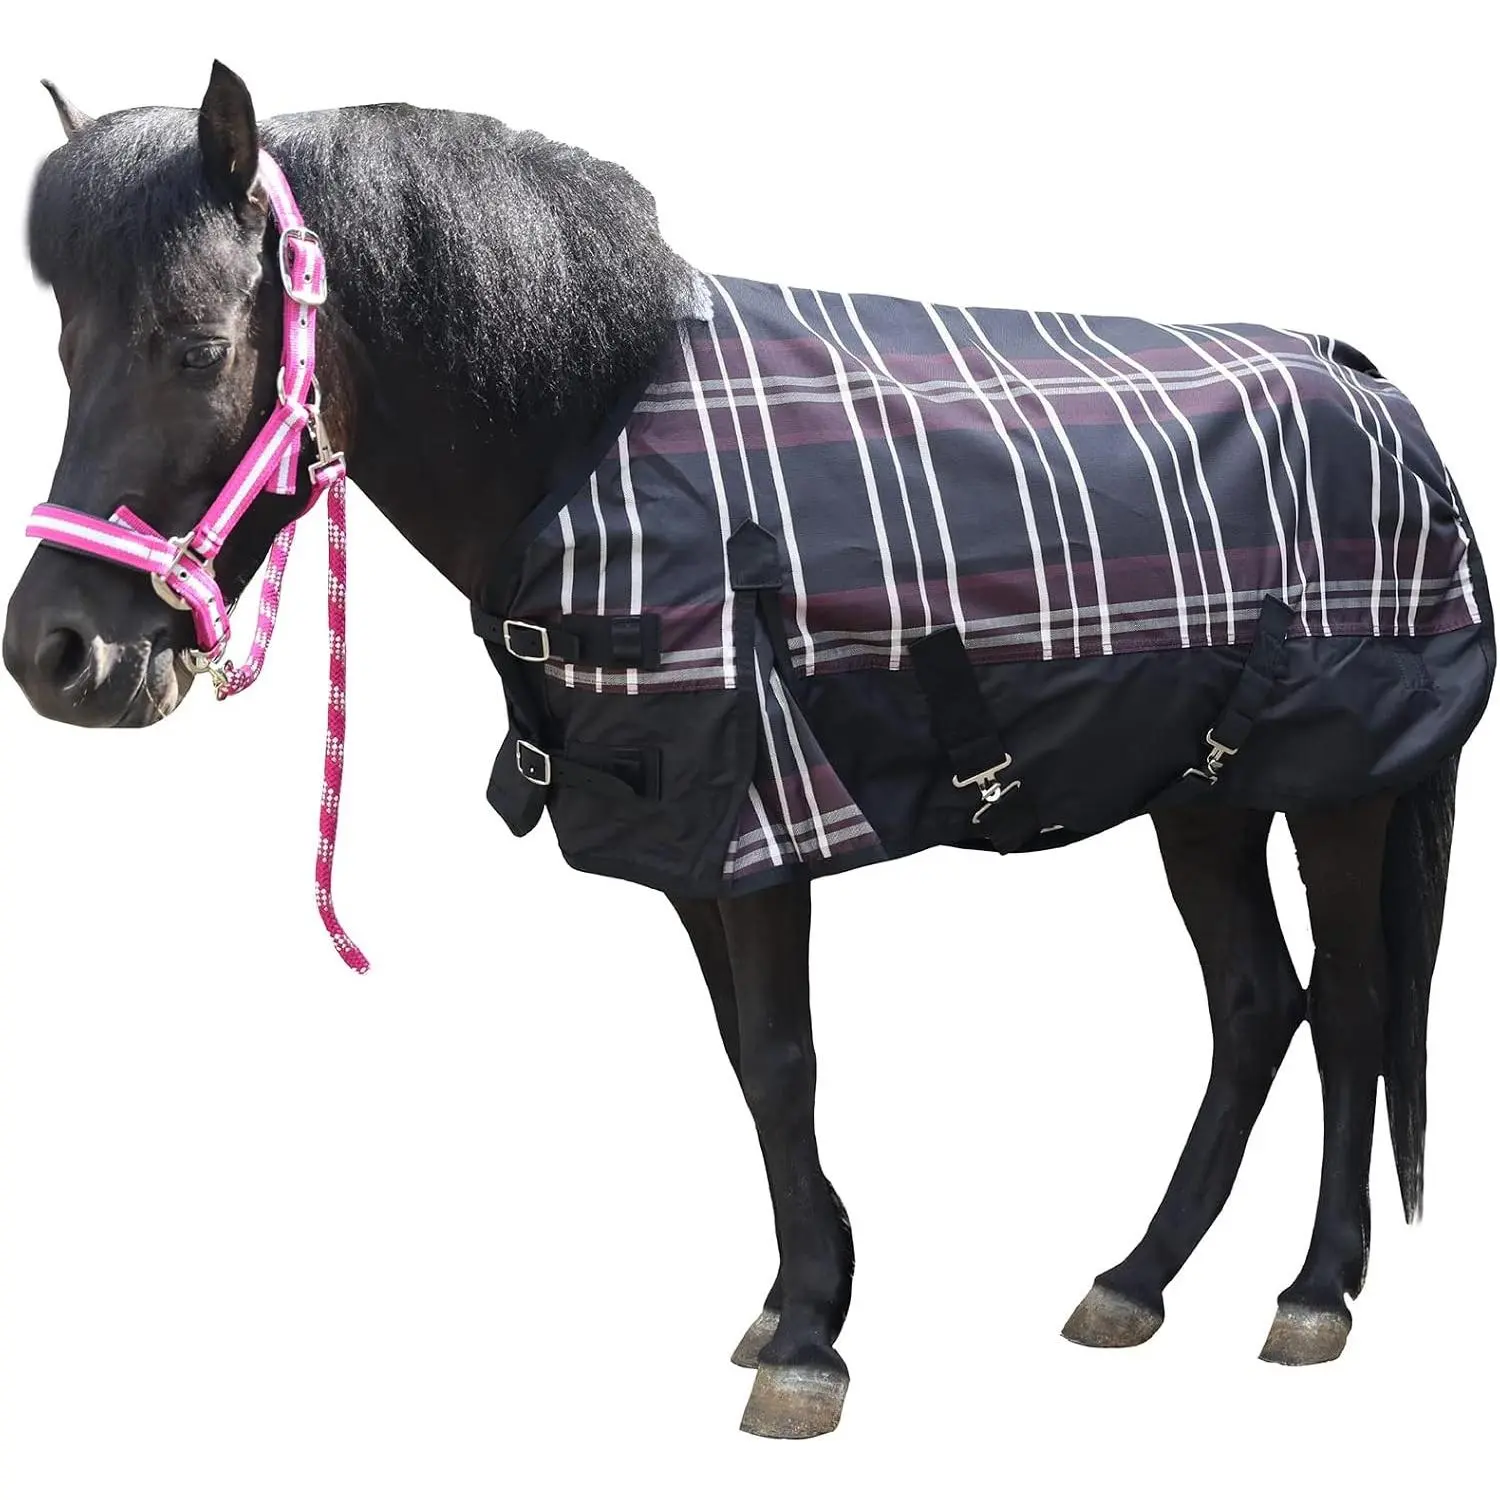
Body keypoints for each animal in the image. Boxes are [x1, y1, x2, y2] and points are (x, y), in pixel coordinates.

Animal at [4, 62, 1489, 1441]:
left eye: (197, 348)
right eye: (66, 352)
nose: (57, 654)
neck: (593, 436)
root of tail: (1375, 395)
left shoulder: (762, 825)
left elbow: (783, 1063)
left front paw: (813, 1347)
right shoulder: (691, 847)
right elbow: (741, 1059)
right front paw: (791, 1298)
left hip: (1339, 789)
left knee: (1354, 1007)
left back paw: (1315, 1293)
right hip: (1208, 795)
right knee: (1255, 1005)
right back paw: (1136, 1279)